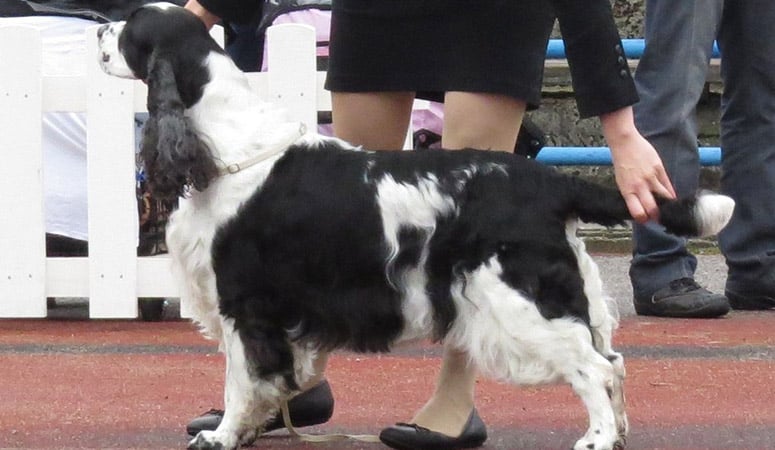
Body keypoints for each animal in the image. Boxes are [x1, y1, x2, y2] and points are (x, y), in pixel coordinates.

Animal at [95, 4, 732, 450]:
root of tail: (548, 182)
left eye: (128, 28)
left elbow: (240, 377)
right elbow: (268, 379)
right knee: (613, 362)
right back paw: (617, 434)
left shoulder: (244, 300)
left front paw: (223, 435)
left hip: (518, 298)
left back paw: (596, 438)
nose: (98, 29)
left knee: (594, 367)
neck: (226, 145)